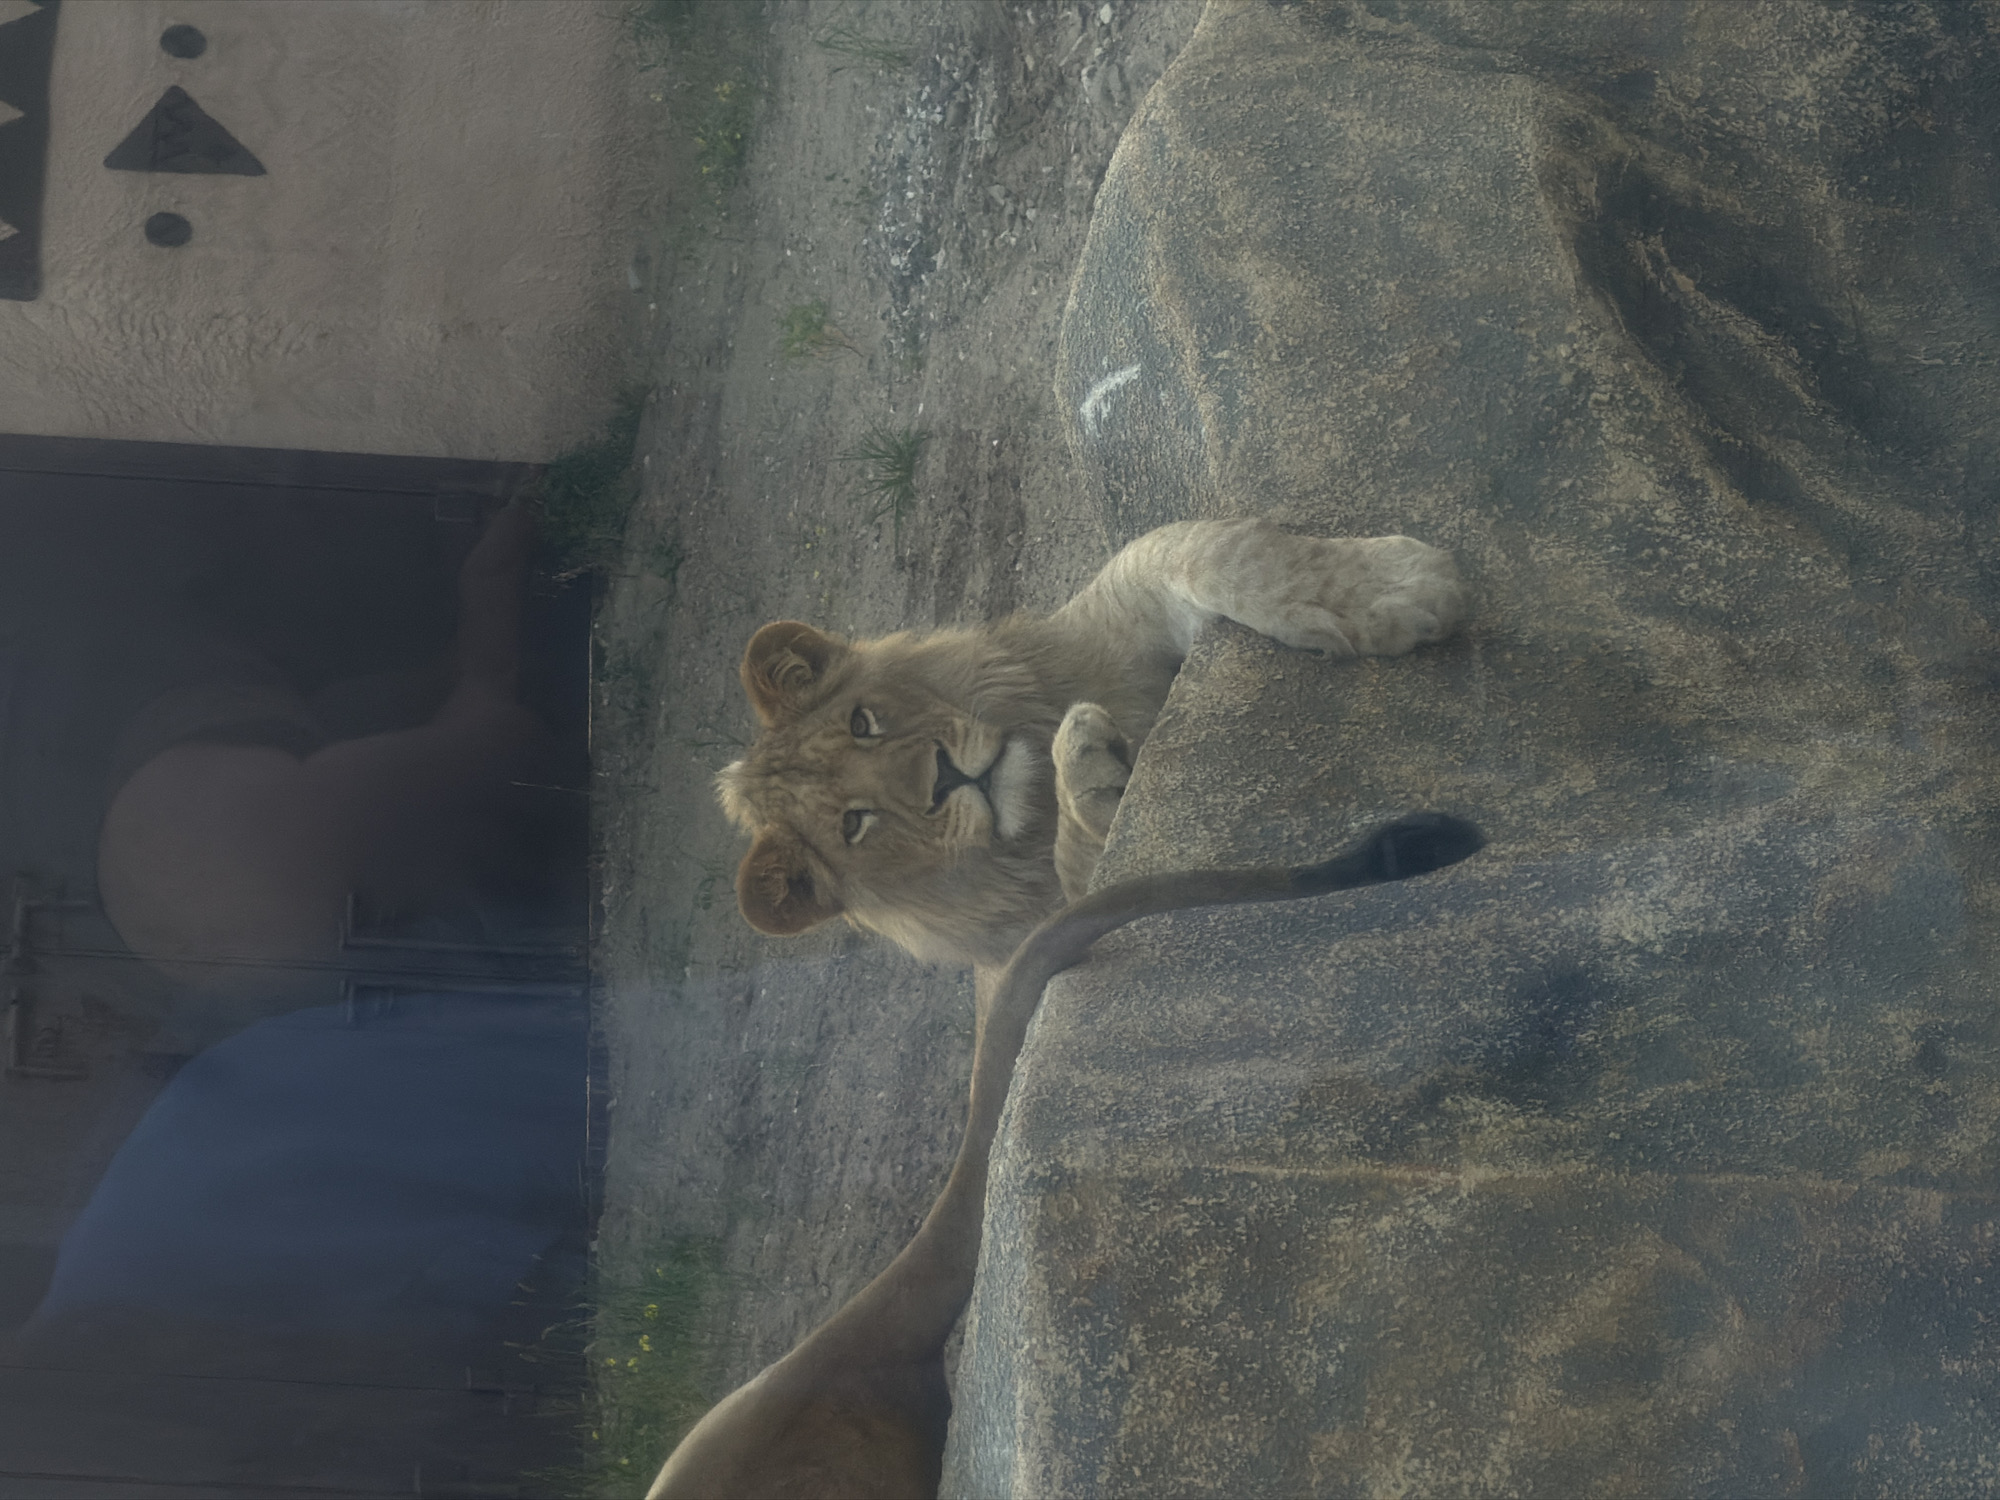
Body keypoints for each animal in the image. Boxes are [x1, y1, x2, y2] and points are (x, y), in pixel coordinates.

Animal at [716, 517, 1466, 968]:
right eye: (853, 825)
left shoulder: (1118, 610)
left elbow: (1212, 551)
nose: (944, 778)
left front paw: (1386, 588)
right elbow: (1086, 864)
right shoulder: (1058, 938)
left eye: (863, 722)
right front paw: (1087, 768)